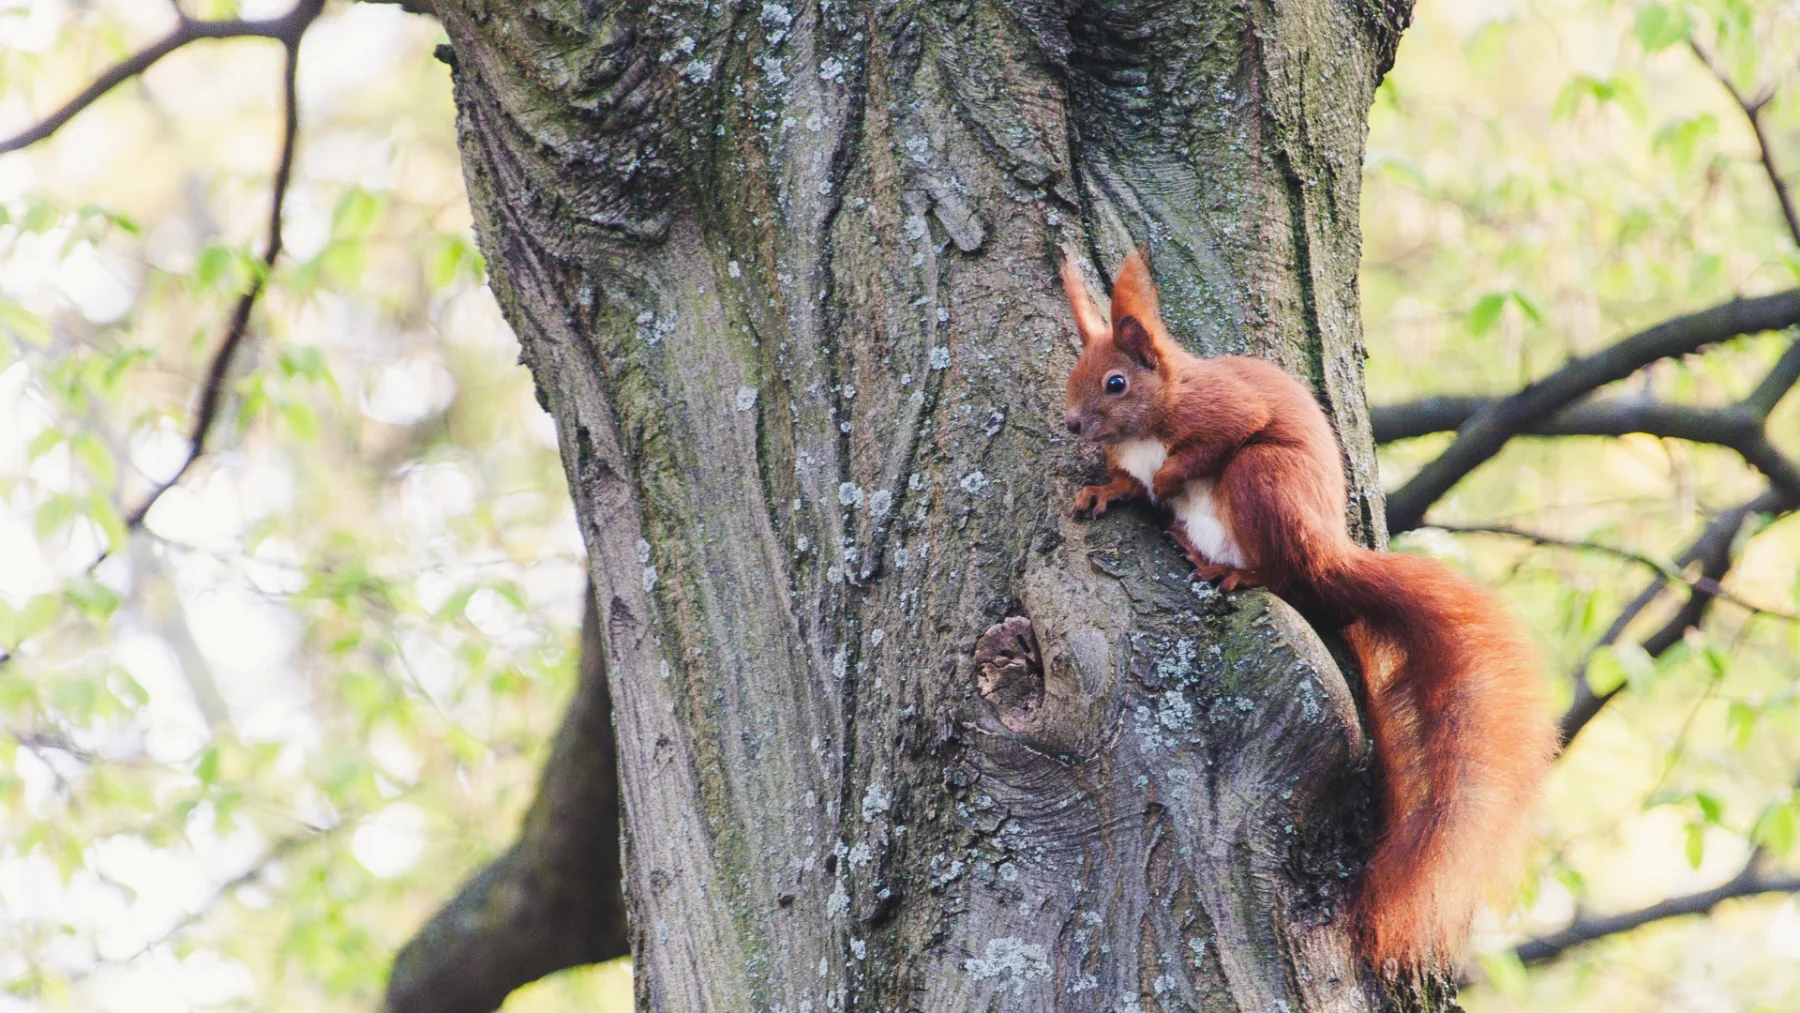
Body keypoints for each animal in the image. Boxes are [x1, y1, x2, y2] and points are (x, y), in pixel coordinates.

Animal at [1060, 251, 1556, 968]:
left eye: (1116, 382)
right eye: (1077, 374)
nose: (1070, 423)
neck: (1154, 417)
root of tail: (1325, 557)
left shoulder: (1224, 412)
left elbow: (1210, 442)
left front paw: (1169, 476)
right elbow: (1127, 481)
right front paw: (1104, 490)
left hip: (1264, 481)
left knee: (1270, 561)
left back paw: (1226, 566)